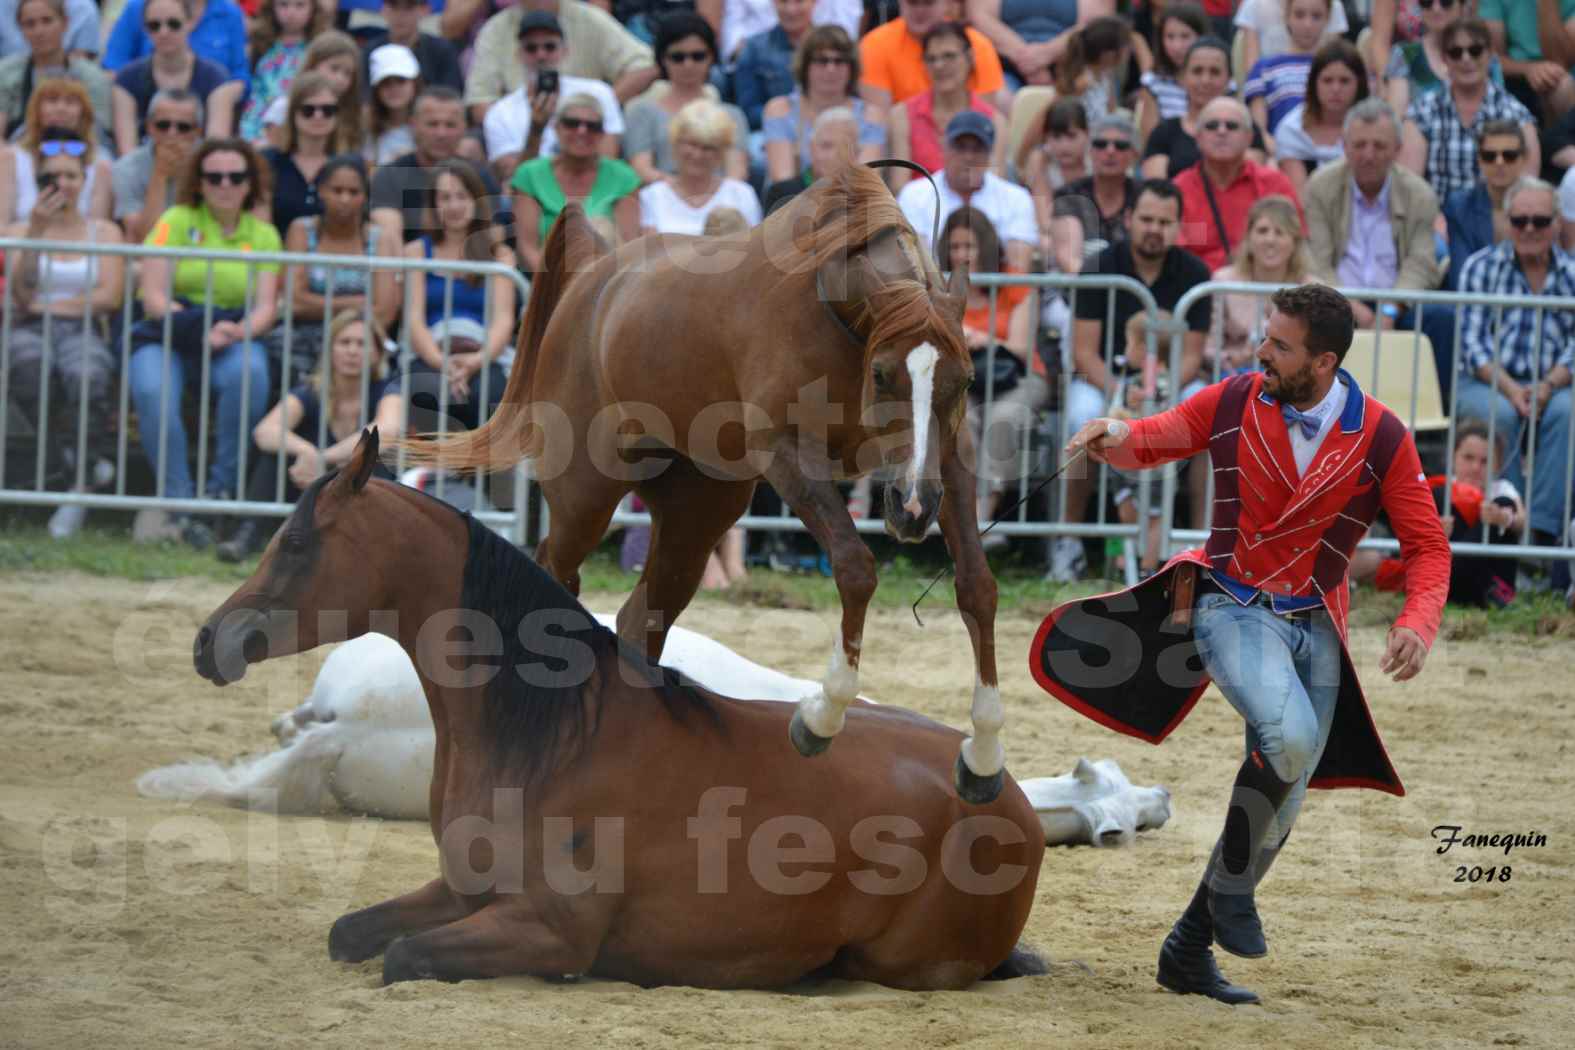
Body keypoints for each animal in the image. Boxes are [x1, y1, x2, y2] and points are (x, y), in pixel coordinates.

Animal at [190, 428, 1045, 988]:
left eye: (297, 542)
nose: (208, 642)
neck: (550, 740)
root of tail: (1012, 800)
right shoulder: (460, 891)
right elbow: (350, 933)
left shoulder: (548, 930)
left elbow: (402, 957)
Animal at [406, 164, 1008, 805]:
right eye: (882, 373)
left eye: (965, 380)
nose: (912, 507)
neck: (835, 308)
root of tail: (592, 277)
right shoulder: (787, 455)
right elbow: (855, 568)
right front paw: (822, 715)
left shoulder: (947, 460)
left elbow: (977, 587)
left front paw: (983, 755)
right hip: (583, 501)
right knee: (556, 569)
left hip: (695, 519)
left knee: (642, 617)